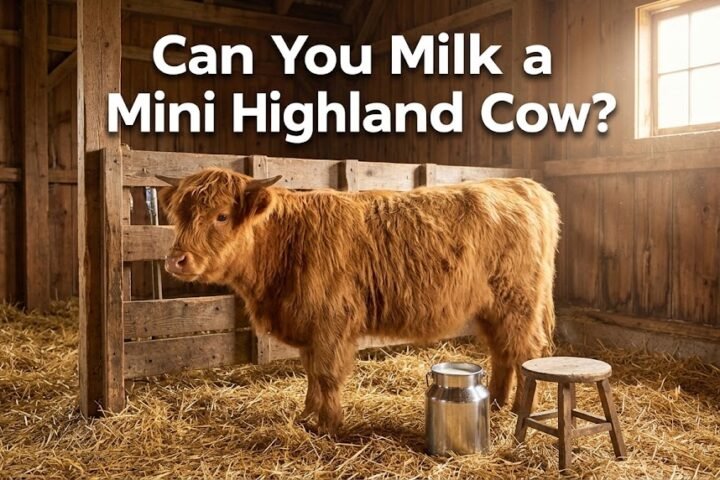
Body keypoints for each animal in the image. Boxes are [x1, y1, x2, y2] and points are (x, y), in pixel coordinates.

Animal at [159, 168, 560, 434]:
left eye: (222, 216)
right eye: (179, 215)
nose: (177, 260)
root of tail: (518, 184)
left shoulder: (331, 321)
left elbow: (326, 374)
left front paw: (329, 426)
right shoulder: (309, 326)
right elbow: (311, 374)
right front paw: (307, 417)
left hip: (518, 302)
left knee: (526, 352)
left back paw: (520, 411)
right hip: (494, 308)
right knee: (502, 352)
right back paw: (495, 403)